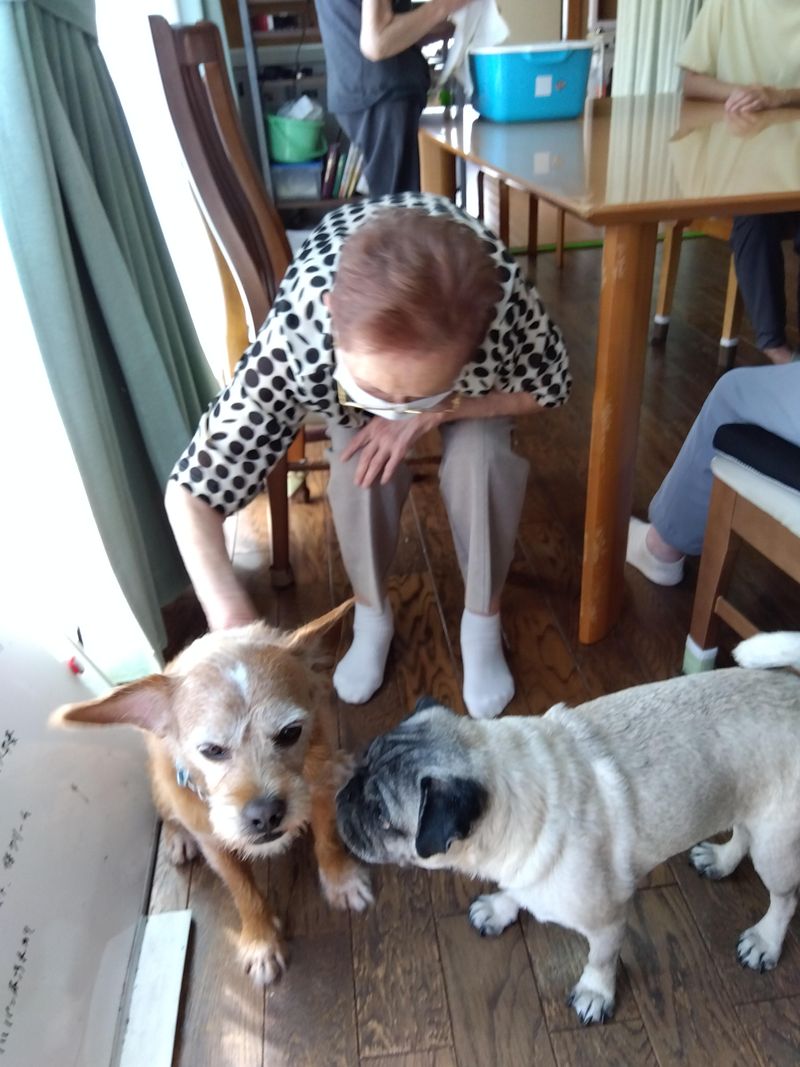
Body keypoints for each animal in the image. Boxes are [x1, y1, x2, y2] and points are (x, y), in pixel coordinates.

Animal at [53, 599, 372, 985]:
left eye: (290, 732)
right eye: (212, 750)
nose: (266, 814)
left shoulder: (318, 793)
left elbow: (327, 841)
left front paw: (341, 880)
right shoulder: (215, 845)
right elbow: (244, 892)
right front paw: (261, 941)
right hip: (161, 786)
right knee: (167, 813)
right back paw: (177, 837)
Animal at [336, 631, 800, 1024]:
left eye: (380, 816)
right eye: (361, 762)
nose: (342, 798)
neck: (508, 779)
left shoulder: (608, 920)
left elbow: (601, 959)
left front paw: (596, 992)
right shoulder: (523, 867)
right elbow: (516, 890)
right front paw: (502, 907)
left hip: (776, 844)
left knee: (785, 897)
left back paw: (765, 940)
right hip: (750, 803)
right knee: (743, 833)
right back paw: (721, 860)